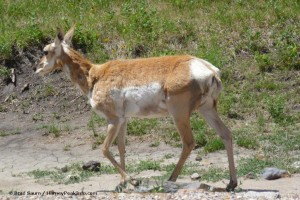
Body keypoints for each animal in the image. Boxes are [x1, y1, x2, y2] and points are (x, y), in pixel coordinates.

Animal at [34, 26, 237, 191]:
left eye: (45, 50)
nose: (37, 69)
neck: (94, 75)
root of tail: (210, 70)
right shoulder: (123, 120)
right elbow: (122, 147)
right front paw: (123, 182)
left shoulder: (113, 119)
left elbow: (104, 149)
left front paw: (133, 181)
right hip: (207, 110)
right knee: (226, 134)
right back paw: (231, 183)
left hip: (179, 114)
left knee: (189, 142)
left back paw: (170, 179)